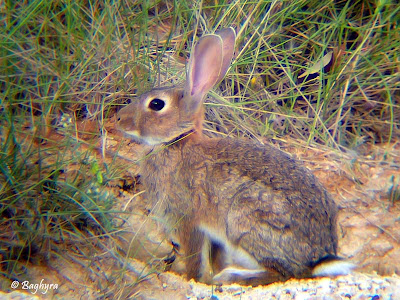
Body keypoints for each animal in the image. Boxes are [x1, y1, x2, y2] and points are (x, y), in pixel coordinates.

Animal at [116, 28, 354, 286]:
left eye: (157, 104)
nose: (119, 118)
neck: (175, 141)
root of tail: (318, 258)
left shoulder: (187, 220)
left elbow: (194, 258)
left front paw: (192, 279)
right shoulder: (213, 236)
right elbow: (215, 257)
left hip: (245, 221)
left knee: (284, 273)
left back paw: (232, 275)